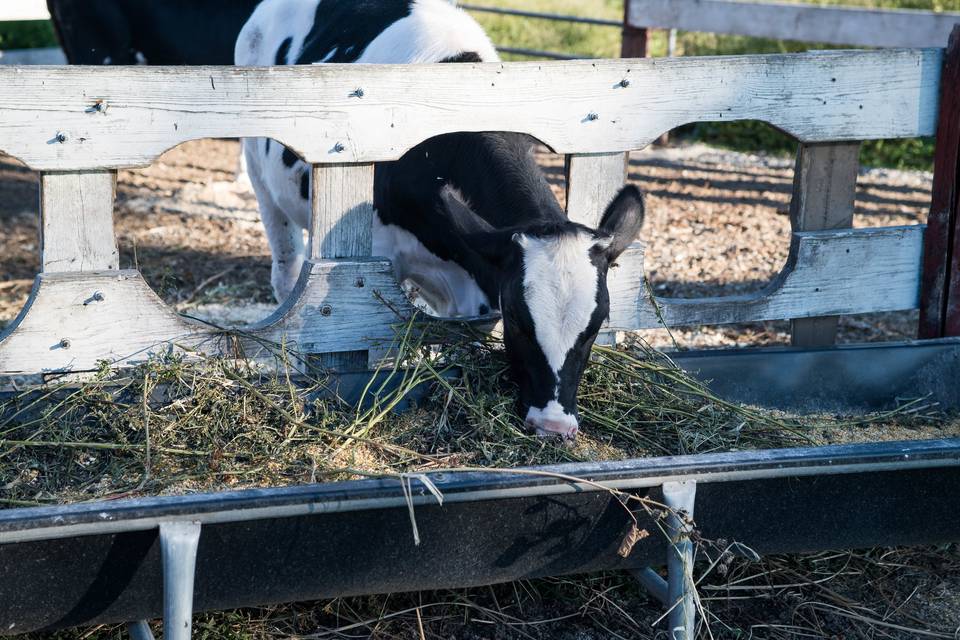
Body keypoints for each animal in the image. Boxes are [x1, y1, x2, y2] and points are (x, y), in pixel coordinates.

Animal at [238, 0, 644, 440]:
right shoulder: (379, 262)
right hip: (260, 173)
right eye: (519, 319)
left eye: (596, 325)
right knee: (285, 274)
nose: (552, 425)